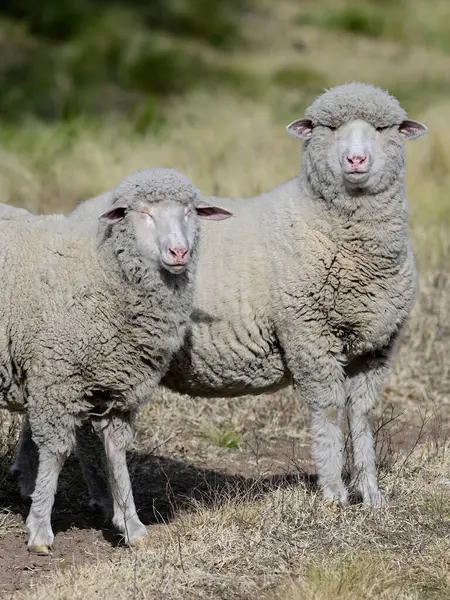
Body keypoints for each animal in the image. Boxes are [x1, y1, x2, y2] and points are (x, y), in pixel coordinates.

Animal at [0, 168, 232, 552]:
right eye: (142, 213)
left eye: (189, 211)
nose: (179, 251)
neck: (103, 269)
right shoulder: (55, 379)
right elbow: (56, 453)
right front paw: (40, 529)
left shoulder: (118, 389)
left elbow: (116, 454)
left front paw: (131, 524)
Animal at [12, 79, 426, 510]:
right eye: (327, 128)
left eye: (383, 129)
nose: (356, 160)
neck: (327, 228)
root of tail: (78, 212)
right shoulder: (309, 335)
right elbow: (328, 412)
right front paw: (334, 495)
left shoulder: (377, 346)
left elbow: (362, 416)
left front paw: (373, 496)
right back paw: (92, 496)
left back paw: (36, 482)